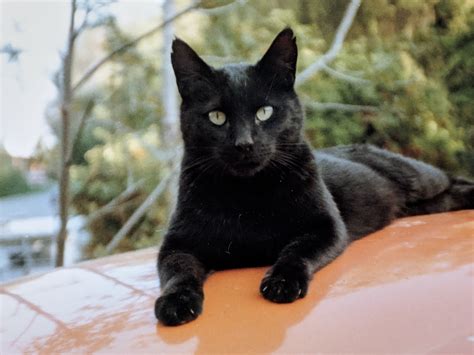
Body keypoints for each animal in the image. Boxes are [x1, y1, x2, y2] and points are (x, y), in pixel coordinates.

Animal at [154, 29, 472, 326]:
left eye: (264, 112)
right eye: (217, 117)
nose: (244, 144)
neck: (247, 194)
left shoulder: (327, 227)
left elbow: (296, 251)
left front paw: (283, 282)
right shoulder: (176, 245)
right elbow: (178, 271)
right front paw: (176, 301)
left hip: (421, 179)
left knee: (453, 179)